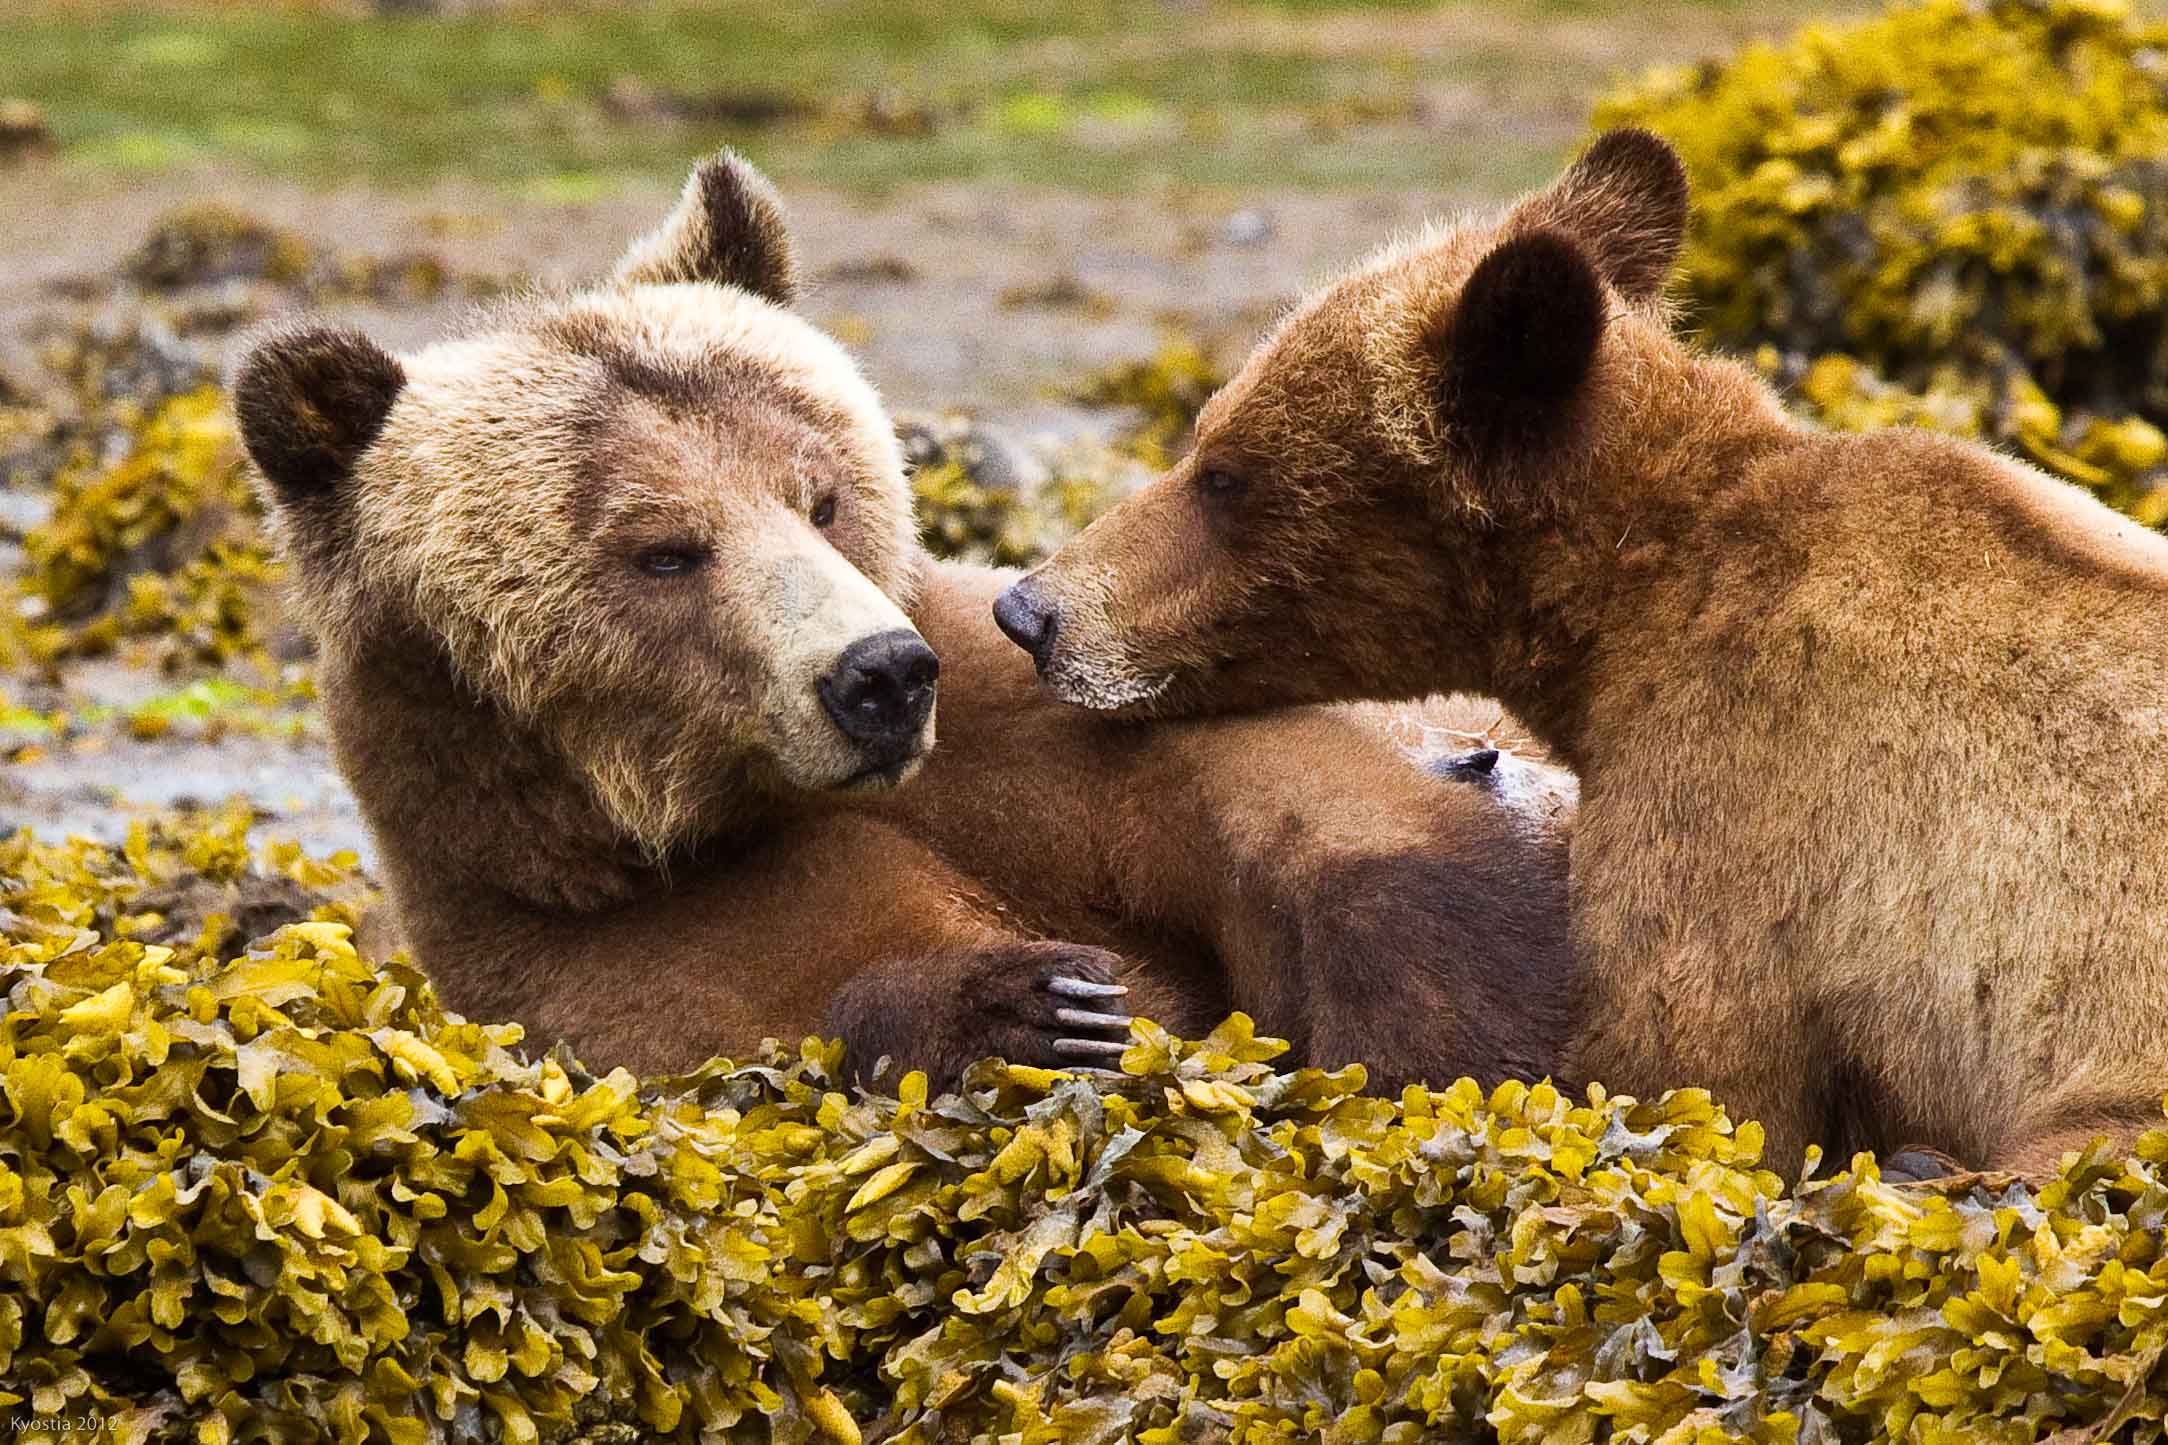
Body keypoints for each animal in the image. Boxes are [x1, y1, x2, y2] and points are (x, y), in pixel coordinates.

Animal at [233, 149, 1578, 1096]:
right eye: (663, 549)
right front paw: (1046, 1002)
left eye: (820, 494)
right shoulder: (600, 956)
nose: (874, 673)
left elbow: (1304, 803)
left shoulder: (1037, 705)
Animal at [1005, 129, 2168, 1178]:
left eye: (1225, 474)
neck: (1628, 606)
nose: (1031, 610)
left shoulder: (1743, 812)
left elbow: (1695, 1074)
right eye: (1203, 434)